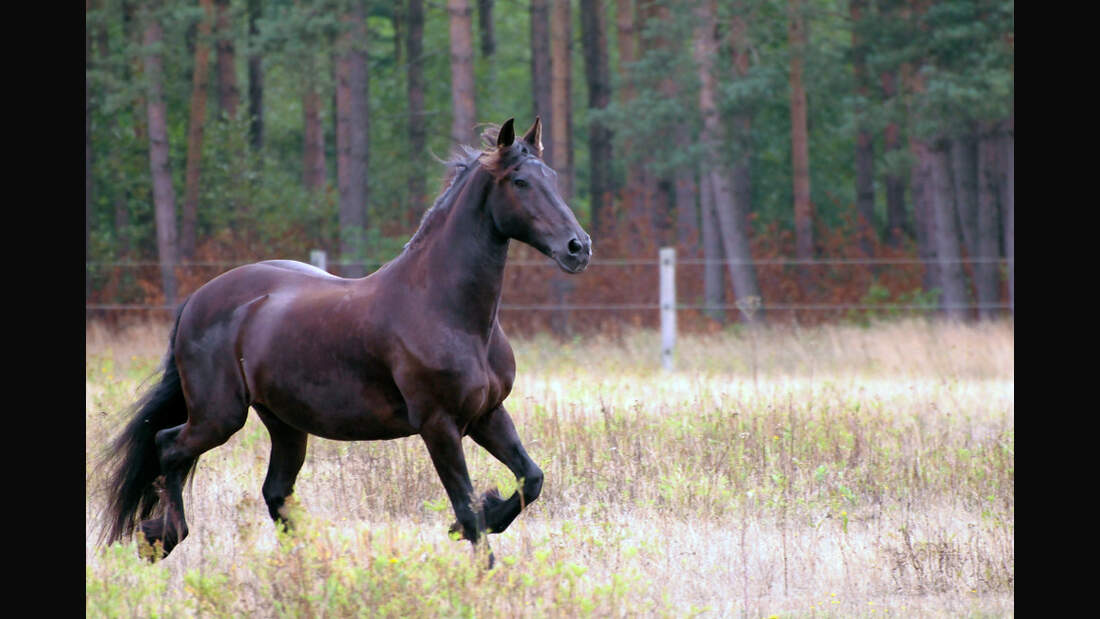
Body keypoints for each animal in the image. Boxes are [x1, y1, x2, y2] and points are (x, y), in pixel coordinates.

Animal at [101, 117, 594, 567]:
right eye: (521, 182)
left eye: (552, 178)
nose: (578, 248)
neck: (447, 310)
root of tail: (197, 300)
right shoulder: (439, 424)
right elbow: (468, 509)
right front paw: (481, 564)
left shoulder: (488, 414)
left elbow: (530, 479)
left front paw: (483, 516)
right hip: (219, 416)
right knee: (169, 446)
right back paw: (161, 538)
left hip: (285, 422)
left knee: (274, 492)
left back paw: (311, 568)